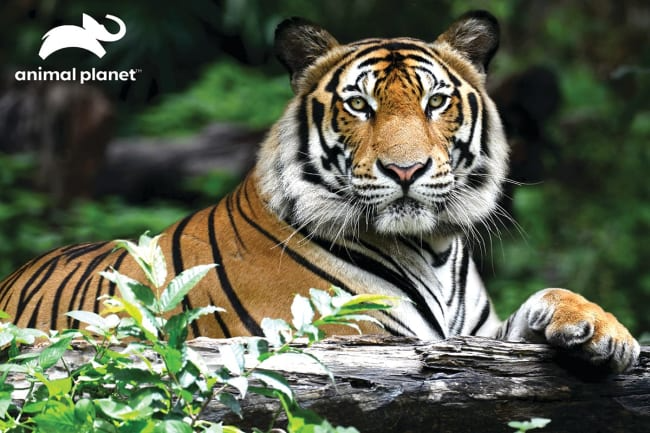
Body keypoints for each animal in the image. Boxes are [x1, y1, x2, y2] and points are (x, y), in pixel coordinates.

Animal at [0, 10, 639, 372]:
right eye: (359, 105)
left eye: (436, 101)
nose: (405, 170)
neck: (433, 248)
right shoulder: (354, 339)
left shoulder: (475, 340)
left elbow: (548, 298)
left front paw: (604, 330)